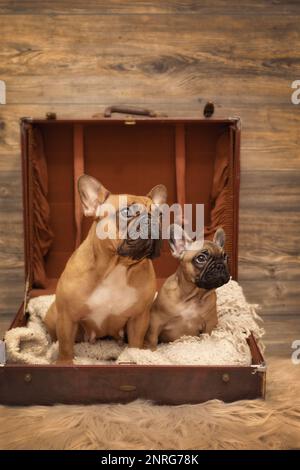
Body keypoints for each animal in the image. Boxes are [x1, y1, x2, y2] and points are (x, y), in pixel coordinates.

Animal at [44, 174, 166, 362]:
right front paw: (64, 363)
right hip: (53, 316)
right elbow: (65, 347)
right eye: (127, 212)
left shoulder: (139, 318)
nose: (152, 219)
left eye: (160, 215)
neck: (117, 266)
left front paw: (135, 356)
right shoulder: (67, 317)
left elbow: (135, 344)